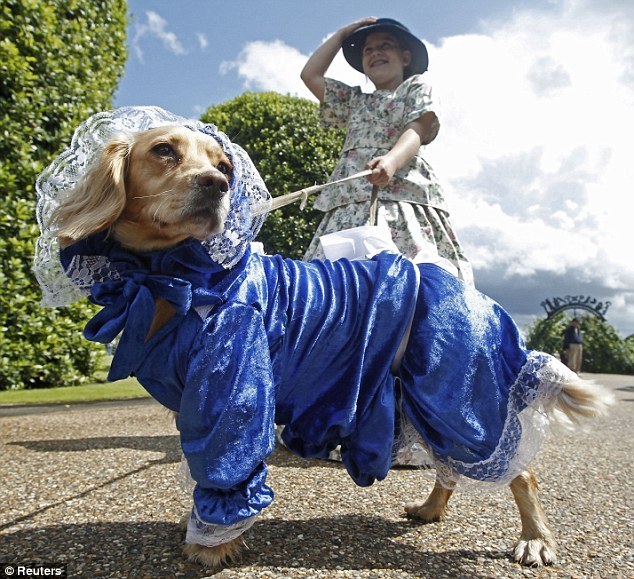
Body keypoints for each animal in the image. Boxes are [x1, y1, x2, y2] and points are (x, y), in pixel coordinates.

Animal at [45, 122, 612, 572]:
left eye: (225, 165)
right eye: (163, 150)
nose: (218, 185)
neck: (173, 277)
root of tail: (479, 297)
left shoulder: (231, 392)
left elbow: (225, 470)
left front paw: (211, 545)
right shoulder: (195, 402)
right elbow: (201, 469)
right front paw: (202, 529)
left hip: (461, 402)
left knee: (521, 471)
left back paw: (535, 540)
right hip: (424, 402)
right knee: (451, 470)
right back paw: (431, 510)